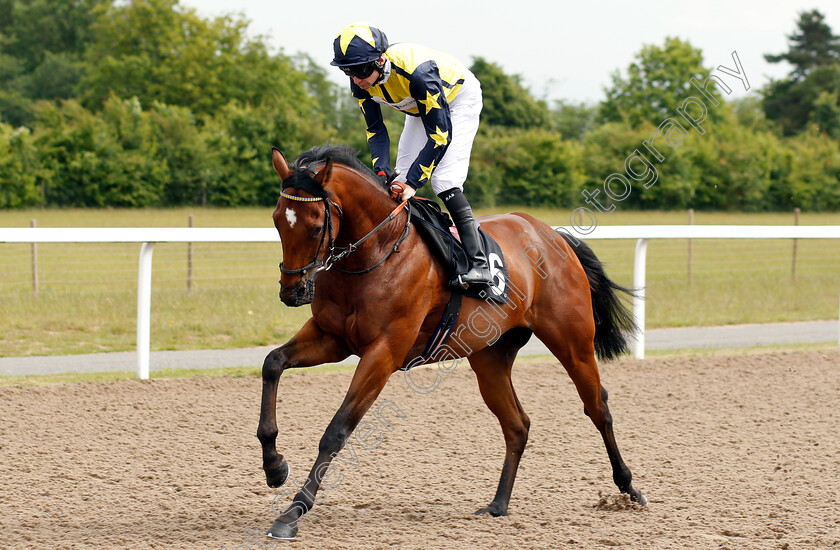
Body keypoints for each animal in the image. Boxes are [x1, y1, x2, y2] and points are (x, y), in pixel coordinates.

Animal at [260, 144, 648, 540]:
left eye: (315, 226)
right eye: (277, 221)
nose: (291, 292)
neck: (375, 253)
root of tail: (552, 235)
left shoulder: (384, 352)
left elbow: (337, 430)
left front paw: (292, 512)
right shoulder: (332, 338)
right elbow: (273, 362)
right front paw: (275, 466)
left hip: (574, 344)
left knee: (597, 407)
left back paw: (629, 488)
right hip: (491, 358)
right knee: (517, 425)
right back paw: (498, 504)